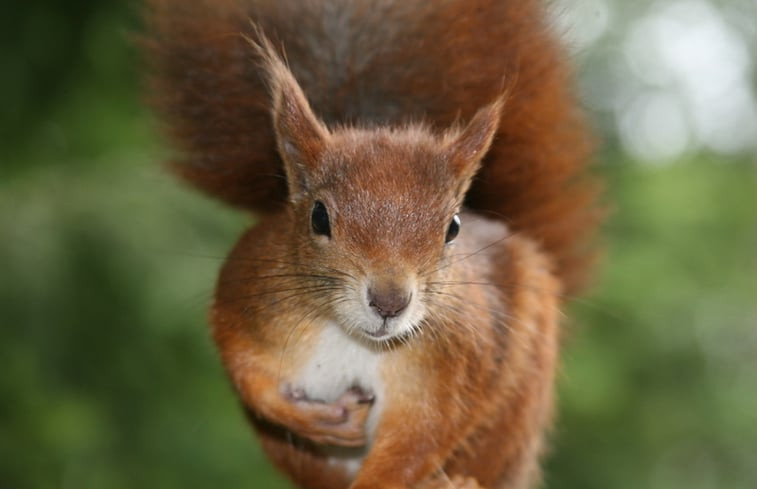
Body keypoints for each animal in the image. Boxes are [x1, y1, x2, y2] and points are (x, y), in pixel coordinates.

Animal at [145, 0, 600, 488]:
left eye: (453, 227)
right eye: (318, 217)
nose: (389, 302)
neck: (351, 336)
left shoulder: (451, 366)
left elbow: (418, 438)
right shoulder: (247, 294)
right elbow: (243, 369)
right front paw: (305, 417)